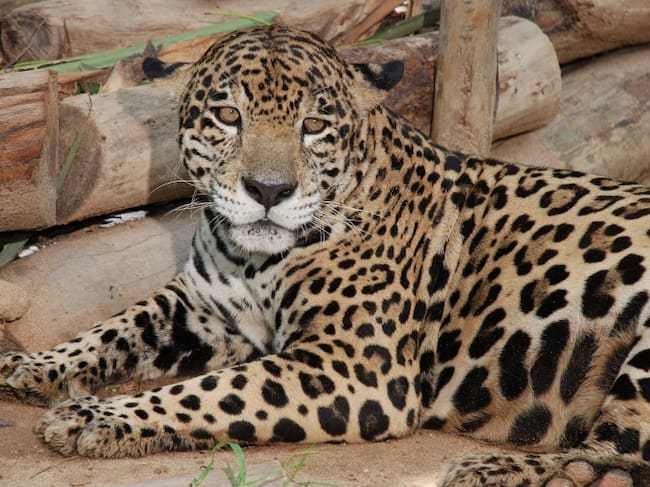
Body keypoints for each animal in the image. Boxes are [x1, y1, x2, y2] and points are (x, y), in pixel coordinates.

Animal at [2, 25, 650, 486]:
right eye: (228, 116)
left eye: (313, 125)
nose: (268, 191)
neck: (254, 260)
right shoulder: (202, 308)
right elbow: (111, 328)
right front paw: (29, 366)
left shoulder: (357, 367)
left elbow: (213, 391)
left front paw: (93, 417)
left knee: (621, 451)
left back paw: (507, 472)